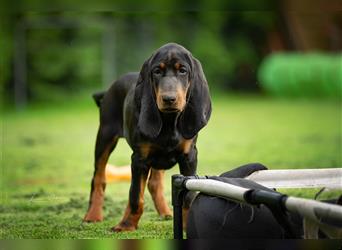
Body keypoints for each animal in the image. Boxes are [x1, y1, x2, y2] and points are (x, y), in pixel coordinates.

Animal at [83, 42, 211, 231]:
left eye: (183, 71)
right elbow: (135, 196)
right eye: (157, 71)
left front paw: (188, 225)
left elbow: (188, 196)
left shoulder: (189, 157)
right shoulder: (139, 159)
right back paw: (92, 215)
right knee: (99, 178)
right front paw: (126, 225)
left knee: (154, 183)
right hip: (105, 137)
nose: (169, 99)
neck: (169, 121)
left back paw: (166, 212)